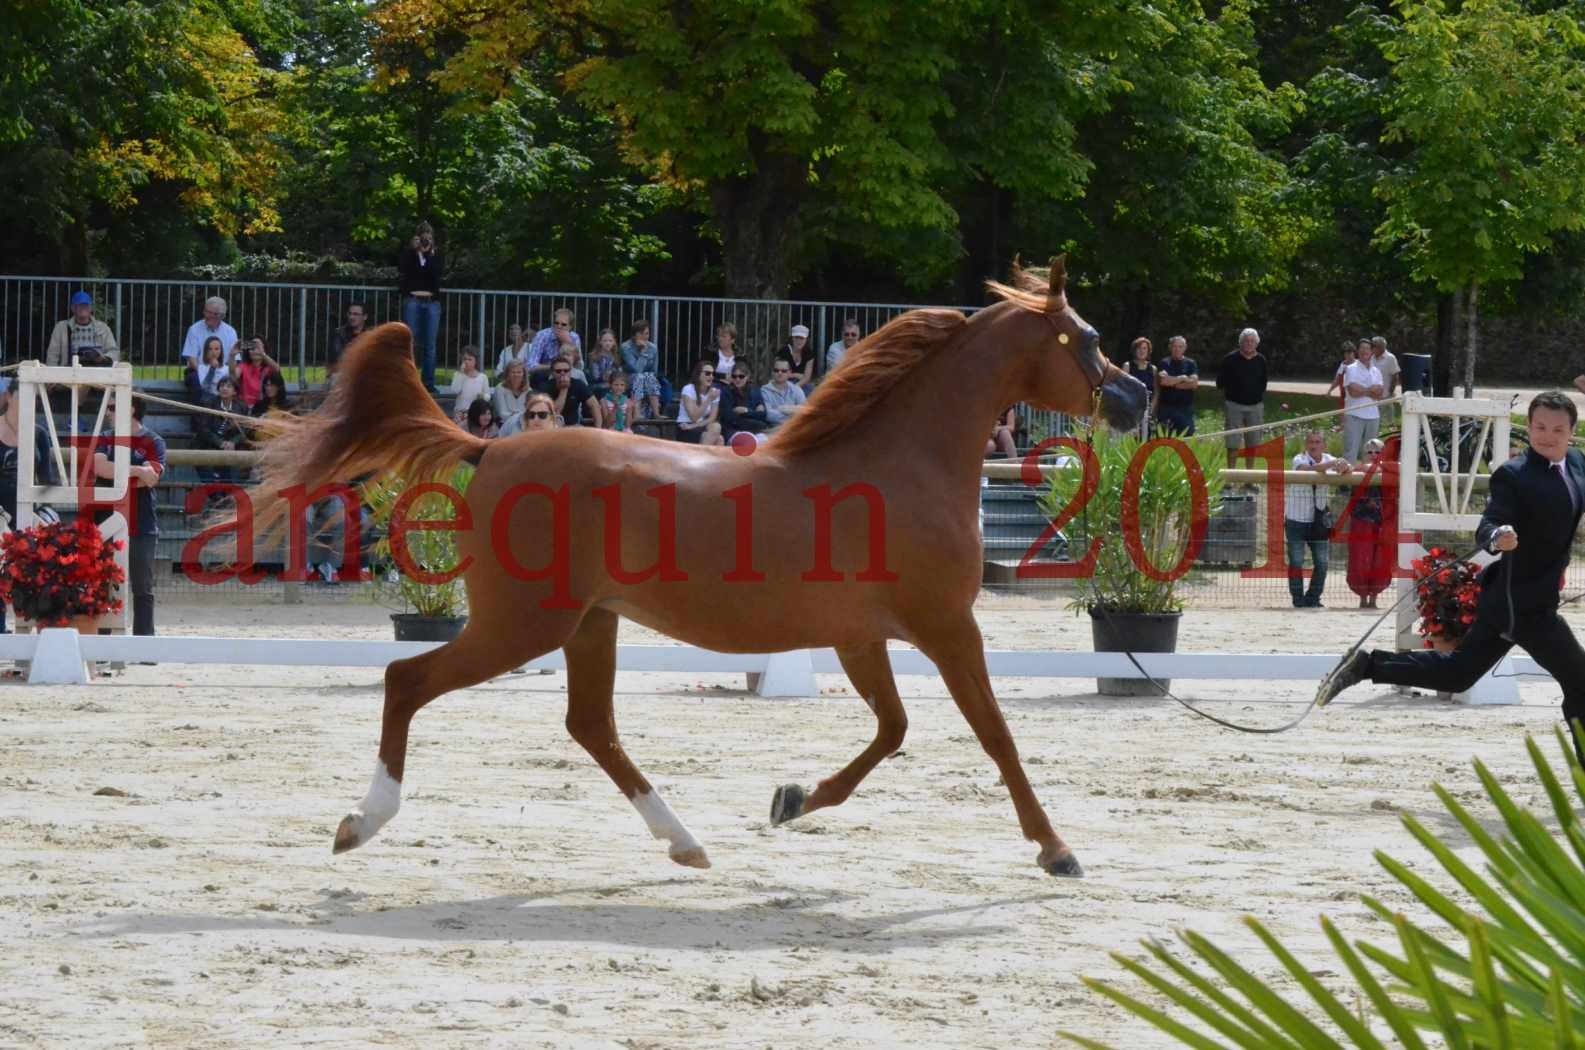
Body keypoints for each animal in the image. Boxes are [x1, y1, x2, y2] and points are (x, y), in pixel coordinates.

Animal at [247, 256, 1147, 881]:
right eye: (1088, 339)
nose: (1136, 399)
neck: (900, 467)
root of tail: (490, 447)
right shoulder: (947, 627)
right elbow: (993, 735)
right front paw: (1057, 850)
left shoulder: (863, 637)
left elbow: (892, 731)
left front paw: (792, 801)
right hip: (522, 624)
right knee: (407, 680)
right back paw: (361, 823)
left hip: (588, 623)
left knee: (592, 727)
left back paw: (686, 843)